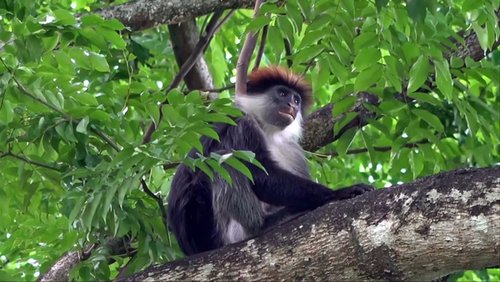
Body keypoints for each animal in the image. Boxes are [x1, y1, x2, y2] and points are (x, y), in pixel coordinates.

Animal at [166, 66, 374, 256]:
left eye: (296, 100)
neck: (269, 131)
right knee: (225, 160)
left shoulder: (292, 149)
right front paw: (338, 193)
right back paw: (263, 224)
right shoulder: (242, 124)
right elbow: (260, 176)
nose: (292, 105)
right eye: (282, 93)